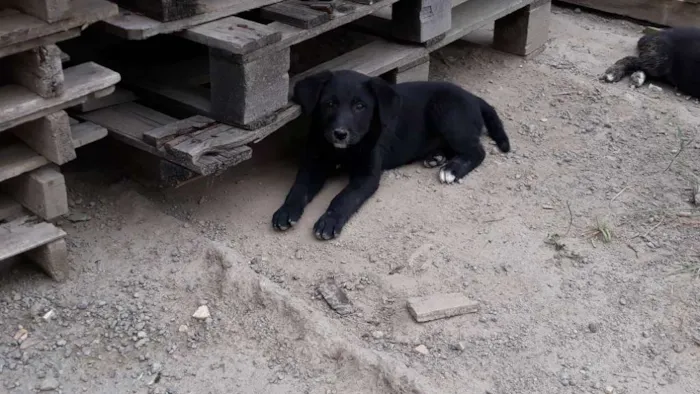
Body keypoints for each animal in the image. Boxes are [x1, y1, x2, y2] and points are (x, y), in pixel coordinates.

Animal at [272, 70, 508, 240]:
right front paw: (286, 211)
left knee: (477, 151)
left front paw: (329, 221)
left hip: (447, 114)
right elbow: (298, 189)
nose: (339, 133)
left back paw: (452, 169)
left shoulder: (366, 176)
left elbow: (344, 197)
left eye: (360, 106)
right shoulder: (313, 165)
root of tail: (473, 97)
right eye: (329, 104)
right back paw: (436, 157)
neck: (343, 150)